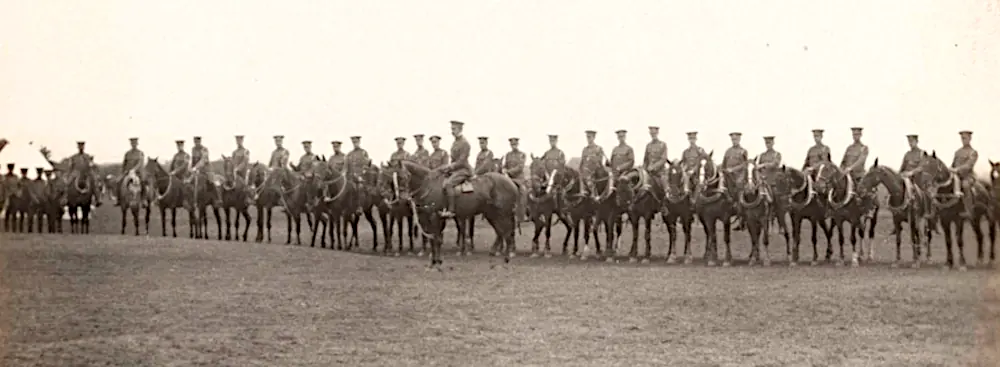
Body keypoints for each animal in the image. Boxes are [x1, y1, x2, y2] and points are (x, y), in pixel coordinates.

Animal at [390, 160, 520, 268]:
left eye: (404, 176)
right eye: (393, 180)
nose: (402, 199)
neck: (429, 185)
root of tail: (511, 182)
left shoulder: (435, 216)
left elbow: (437, 239)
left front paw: (437, 261)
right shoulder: (428, 217)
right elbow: (433, 238)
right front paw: (434, 261)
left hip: (504, 213)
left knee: (508, 233)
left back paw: (507, 257)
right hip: (492, 215)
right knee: (502, 232)